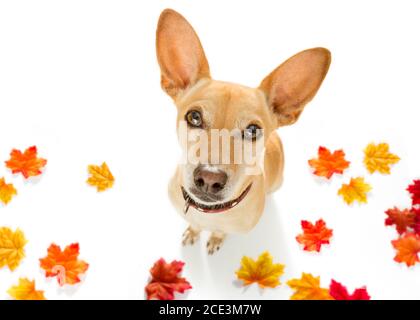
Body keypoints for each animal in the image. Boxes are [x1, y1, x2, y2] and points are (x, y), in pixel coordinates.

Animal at [156, 8, 330, 255]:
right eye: (194, 117)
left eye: (253, 130)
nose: (209, 178)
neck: (207, 213)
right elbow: (194, 225)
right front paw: (193, 231)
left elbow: (220, 232)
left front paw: (215, 238)